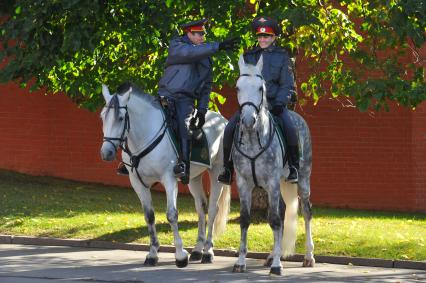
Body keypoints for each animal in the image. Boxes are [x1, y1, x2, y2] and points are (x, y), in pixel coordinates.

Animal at [99, 84, 230, 268]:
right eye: (103, 116)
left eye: (120, 117)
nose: (107, 153)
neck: (145, 135)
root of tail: (221, 120)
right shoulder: (138, 184)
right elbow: (149, 216)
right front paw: (152, 254)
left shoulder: (169, 180)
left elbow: (172, 215)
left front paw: (180, 255)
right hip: (193, 178)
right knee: (200, 207)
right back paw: (197, 250)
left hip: (216, 172)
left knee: (212, 210)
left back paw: (208, 252)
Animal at [231, 54, 314, 276]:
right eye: (238, 87)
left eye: (261, 88)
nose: (248, 120)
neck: (253, 139)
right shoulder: (243, 184)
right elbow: (245, 219)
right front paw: (240, 262)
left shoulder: (272, 182)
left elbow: (275, 220)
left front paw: (277, 265)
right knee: (284, 211)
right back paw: (270, 256)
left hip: (302, 180)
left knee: (306, 212)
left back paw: (308, 257)